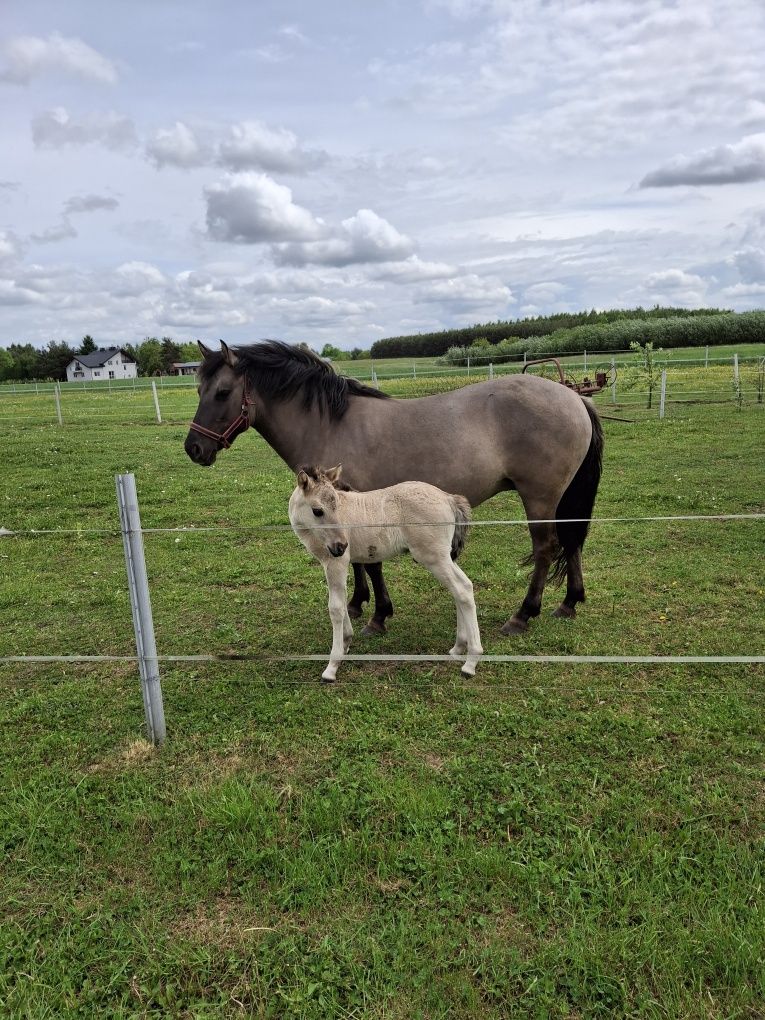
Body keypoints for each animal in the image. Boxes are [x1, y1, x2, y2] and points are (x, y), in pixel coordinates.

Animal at [289, 467, 481, 681]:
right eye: (317, 511)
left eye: (337, 506)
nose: (341, 546)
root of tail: (448, 498)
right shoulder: (332, 563)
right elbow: (342, 602)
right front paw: (346, 642)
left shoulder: (336, 562)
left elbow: (336, 608)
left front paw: (332, 666)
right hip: (444, 557)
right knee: (463, 588)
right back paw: (458, 648)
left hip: (434, 558)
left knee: (462, 590)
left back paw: (470, 662)